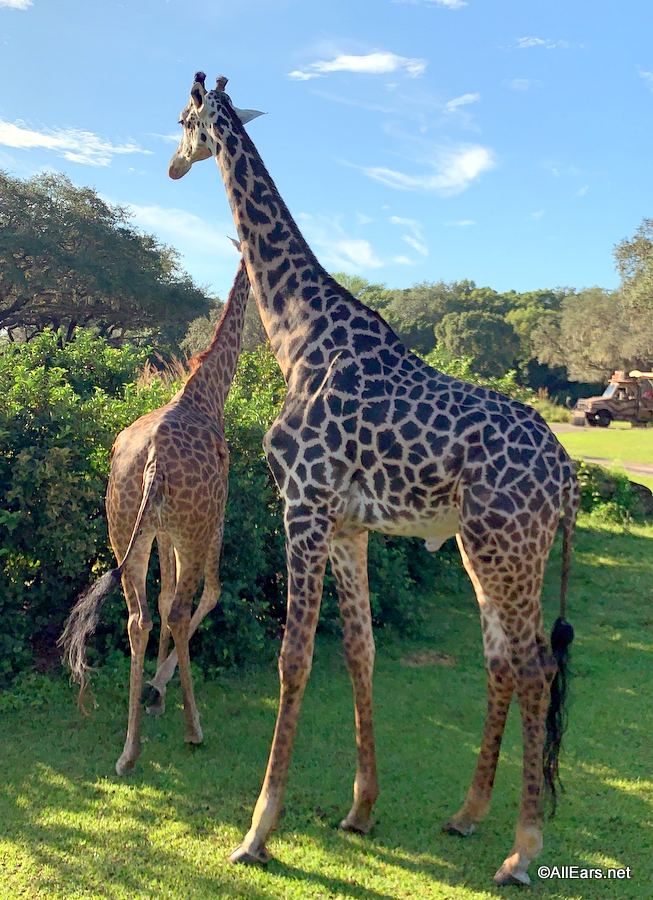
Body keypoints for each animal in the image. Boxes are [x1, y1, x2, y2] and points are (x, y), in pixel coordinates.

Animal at [59, 251, 250, 772]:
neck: (206, 392)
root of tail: (151, 463)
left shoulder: (161, 529)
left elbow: (162, 602)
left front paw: (154, 694)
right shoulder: (213, 517)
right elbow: (209, 594)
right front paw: (161, 691)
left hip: (125, 527)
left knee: (138, 617)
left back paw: (129, 751)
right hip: (192, 528)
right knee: (183, 608)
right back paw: (193, 728)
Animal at [167, 72, 576, 884]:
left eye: (183, 121)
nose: (170, 166)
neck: (298, 335)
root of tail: (568, 473)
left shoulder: (302, 504)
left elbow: (293, 658)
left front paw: (257, 831)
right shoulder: (348, 523)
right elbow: (360, 651)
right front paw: (360, 810)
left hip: (505, 548)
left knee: (537, 664)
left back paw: (521, 851)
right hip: (493, 549)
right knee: (503, 659)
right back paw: (466, 815)